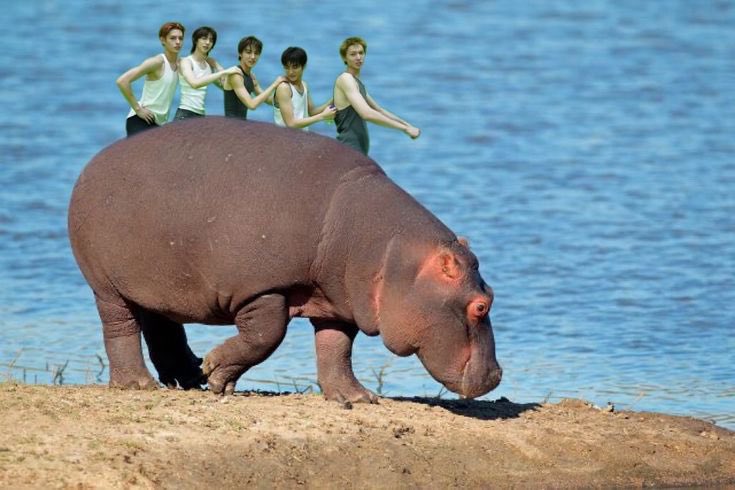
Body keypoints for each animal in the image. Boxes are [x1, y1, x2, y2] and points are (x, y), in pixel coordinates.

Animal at [68, 117, 502, 402]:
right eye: (481, 305)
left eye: (492, 294)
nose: (497, 376)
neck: (387, 252)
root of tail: (93, 162)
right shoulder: (261, 289)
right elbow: (266, 337)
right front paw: (217, 376)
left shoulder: (336, 300)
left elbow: (336, 348)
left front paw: (356, 398)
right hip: (106, 286)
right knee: (120, 327)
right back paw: (139, 384)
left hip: (158, 284)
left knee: (162, 327)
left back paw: (187, 376)